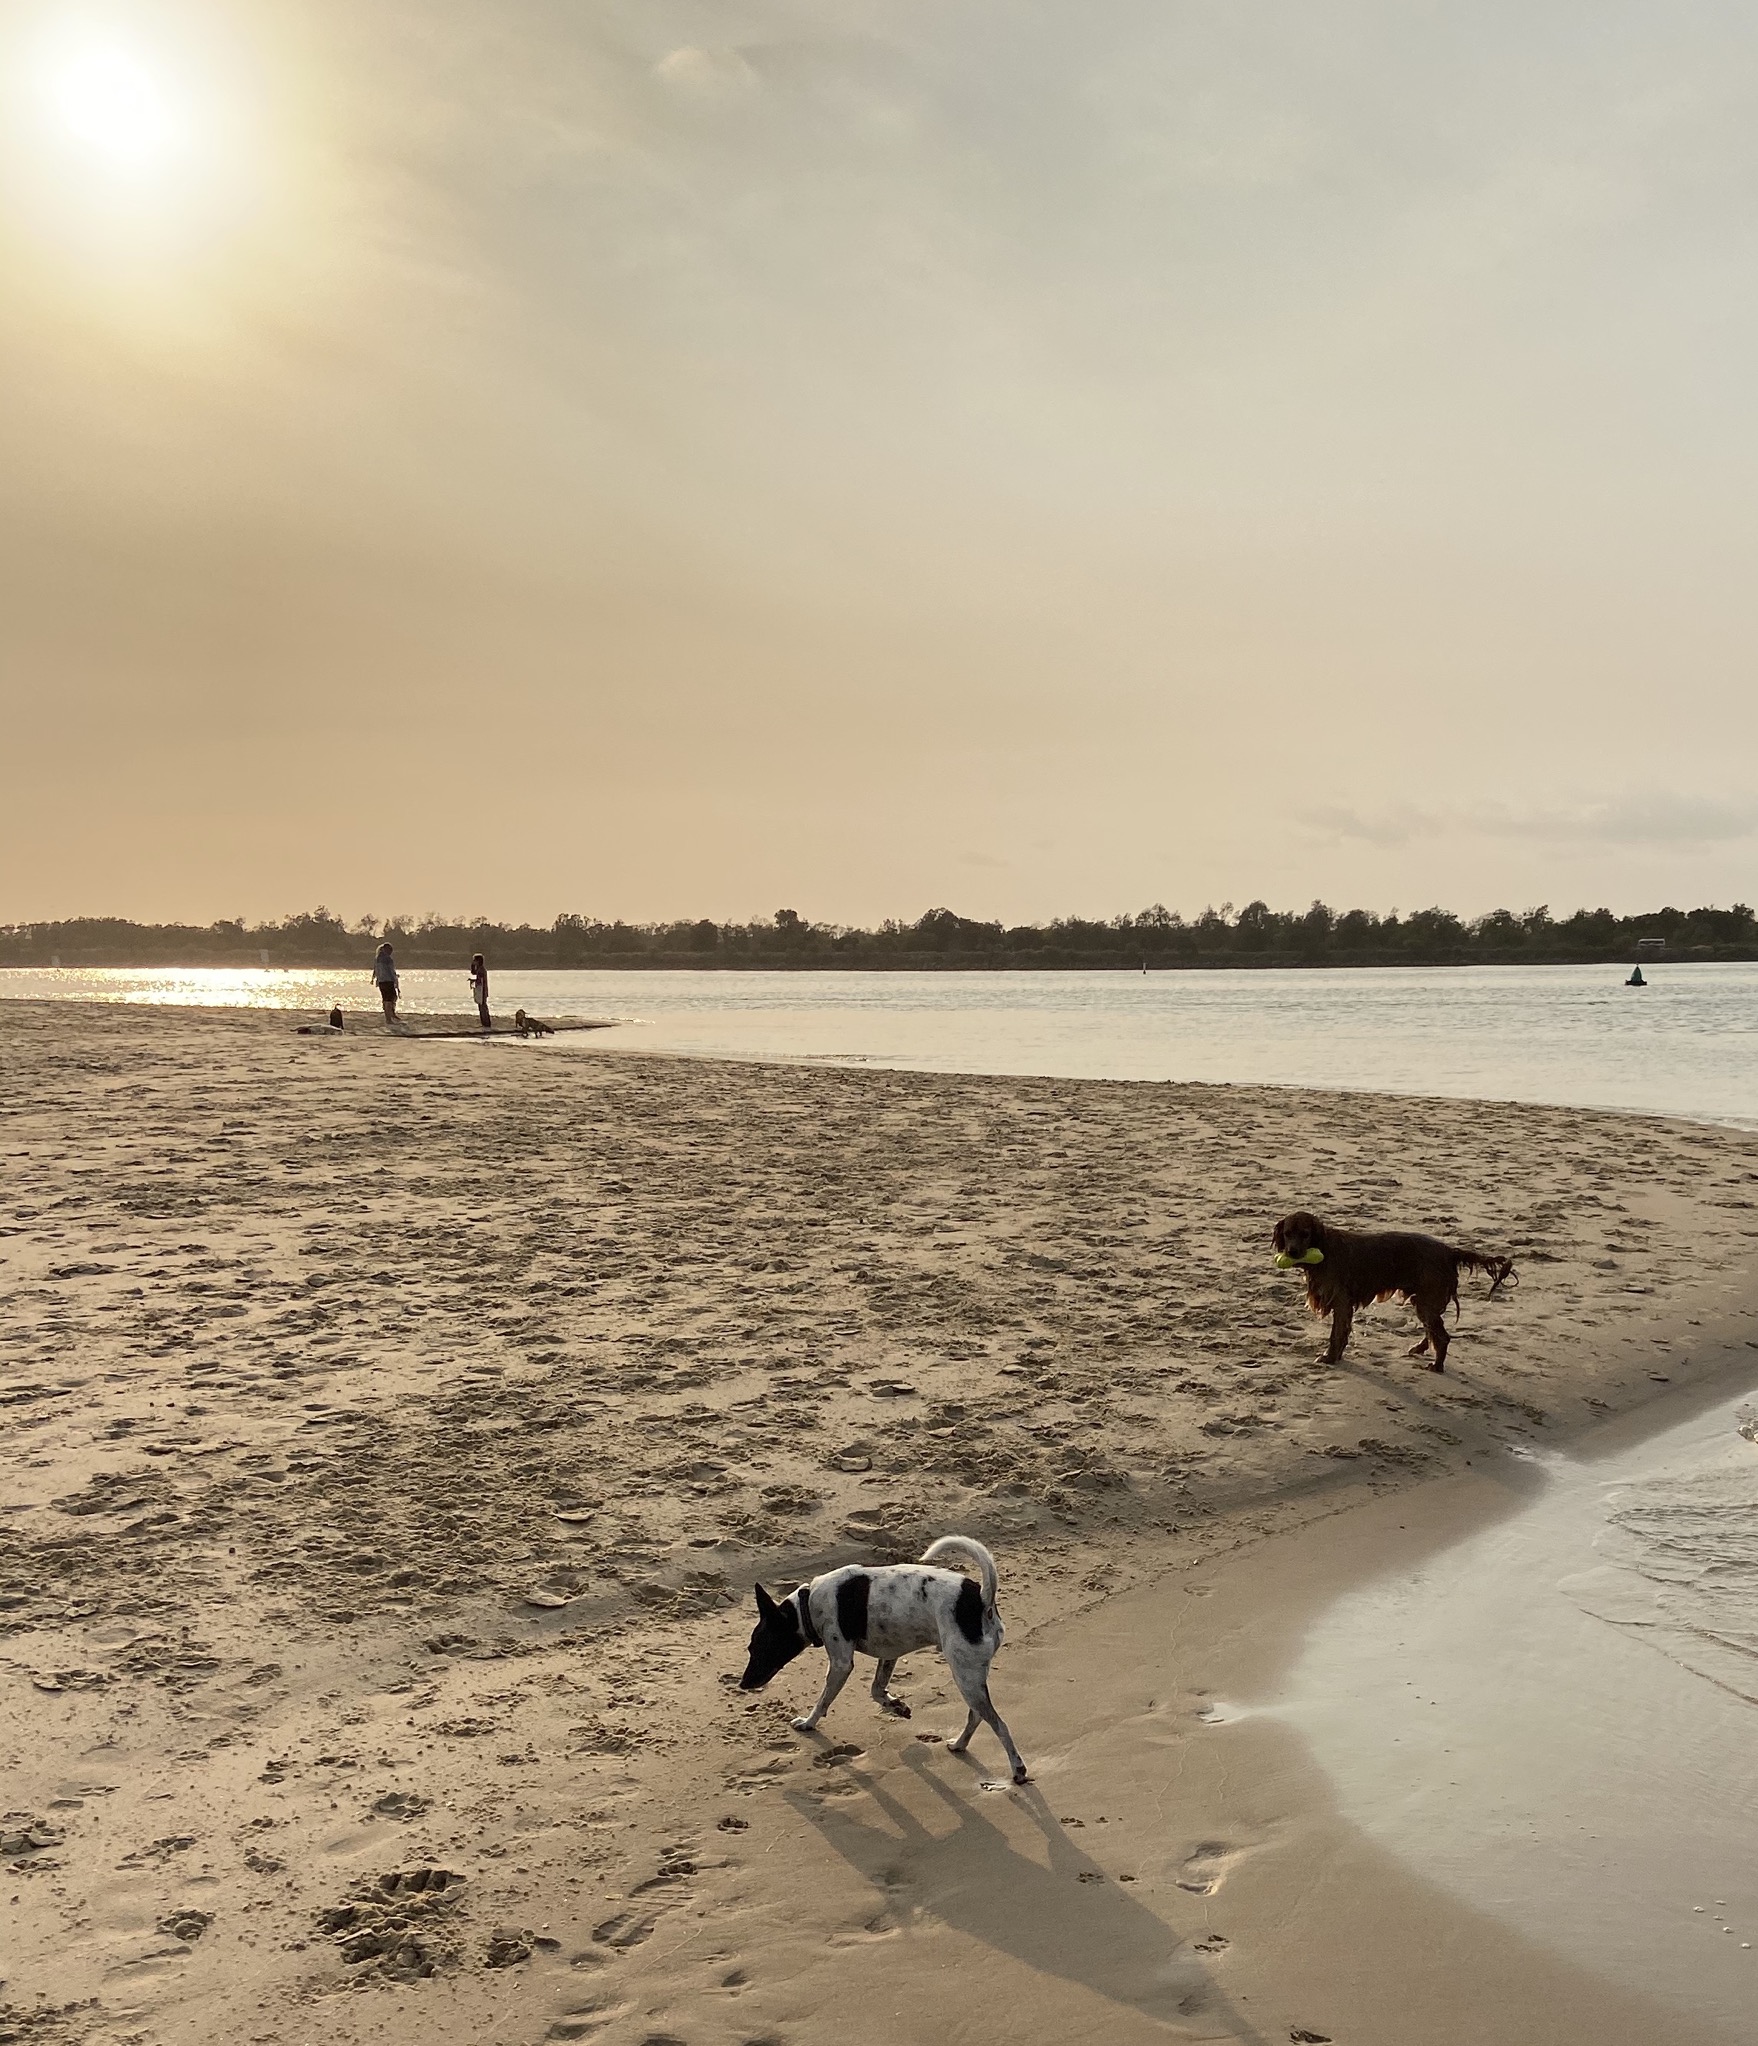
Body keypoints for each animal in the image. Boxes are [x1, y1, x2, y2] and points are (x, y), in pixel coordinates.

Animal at [732, 1538, 1031, 1775]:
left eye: (759, 1648)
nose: (743, 1684)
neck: (807, 1606)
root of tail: (982, 1600)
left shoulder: (841, 1664)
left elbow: (823, 1701)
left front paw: (808, 1722)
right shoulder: (889, 1654)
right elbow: (877, 1690)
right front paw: (896, 1706)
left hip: (965, 1676)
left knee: (998, 1724)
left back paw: (1017, 1768)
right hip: (971, 1676)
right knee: (976, 1716)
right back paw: (959, 1744)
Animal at [1268, 1211, 1522, 1374]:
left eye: (1305, 1233)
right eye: (1288, 1233)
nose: (1292, 1252)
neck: (1325, 1250)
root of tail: (1450, 1251)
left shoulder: (1341, 1301)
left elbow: (1336, 1334)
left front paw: (1329, 1357)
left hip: (1427, 1301)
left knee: (1442, 1336)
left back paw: (1437, 1366)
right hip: (1424, 1301)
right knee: (1434, 1331)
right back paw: (1420, 1349)